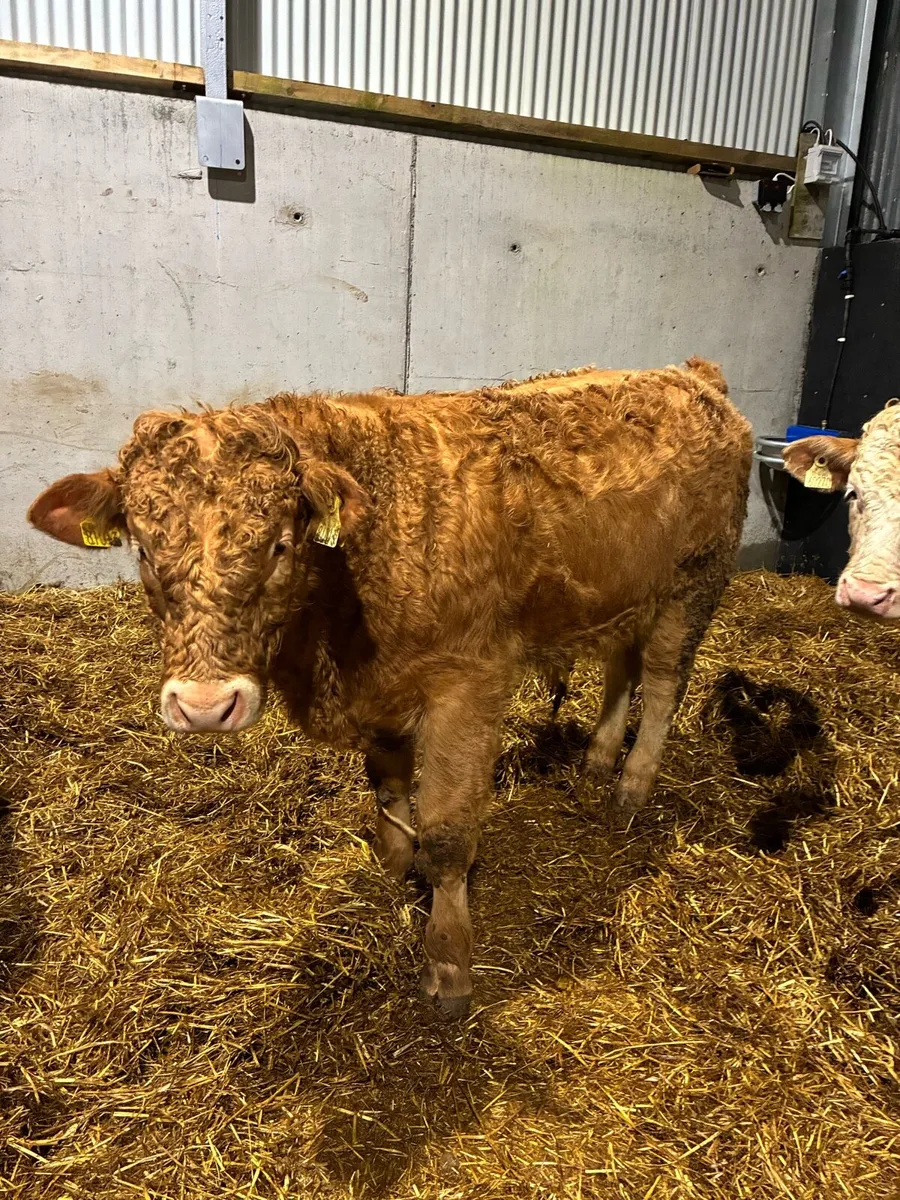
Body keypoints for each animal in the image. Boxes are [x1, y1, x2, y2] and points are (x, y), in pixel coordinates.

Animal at [27, 358, 752, 1016]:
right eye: (145, 552)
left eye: (280, 545)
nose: (206, 707)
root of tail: (688, 374)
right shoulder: (379, 690)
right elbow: (388, 795)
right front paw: (393, 873)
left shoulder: (469, 683)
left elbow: (448, 833)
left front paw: (449, 966)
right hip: (626, 594)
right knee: (621, 669)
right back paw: (599, 759)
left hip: (695, 583)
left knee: (662, 682)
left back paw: (630, 786)